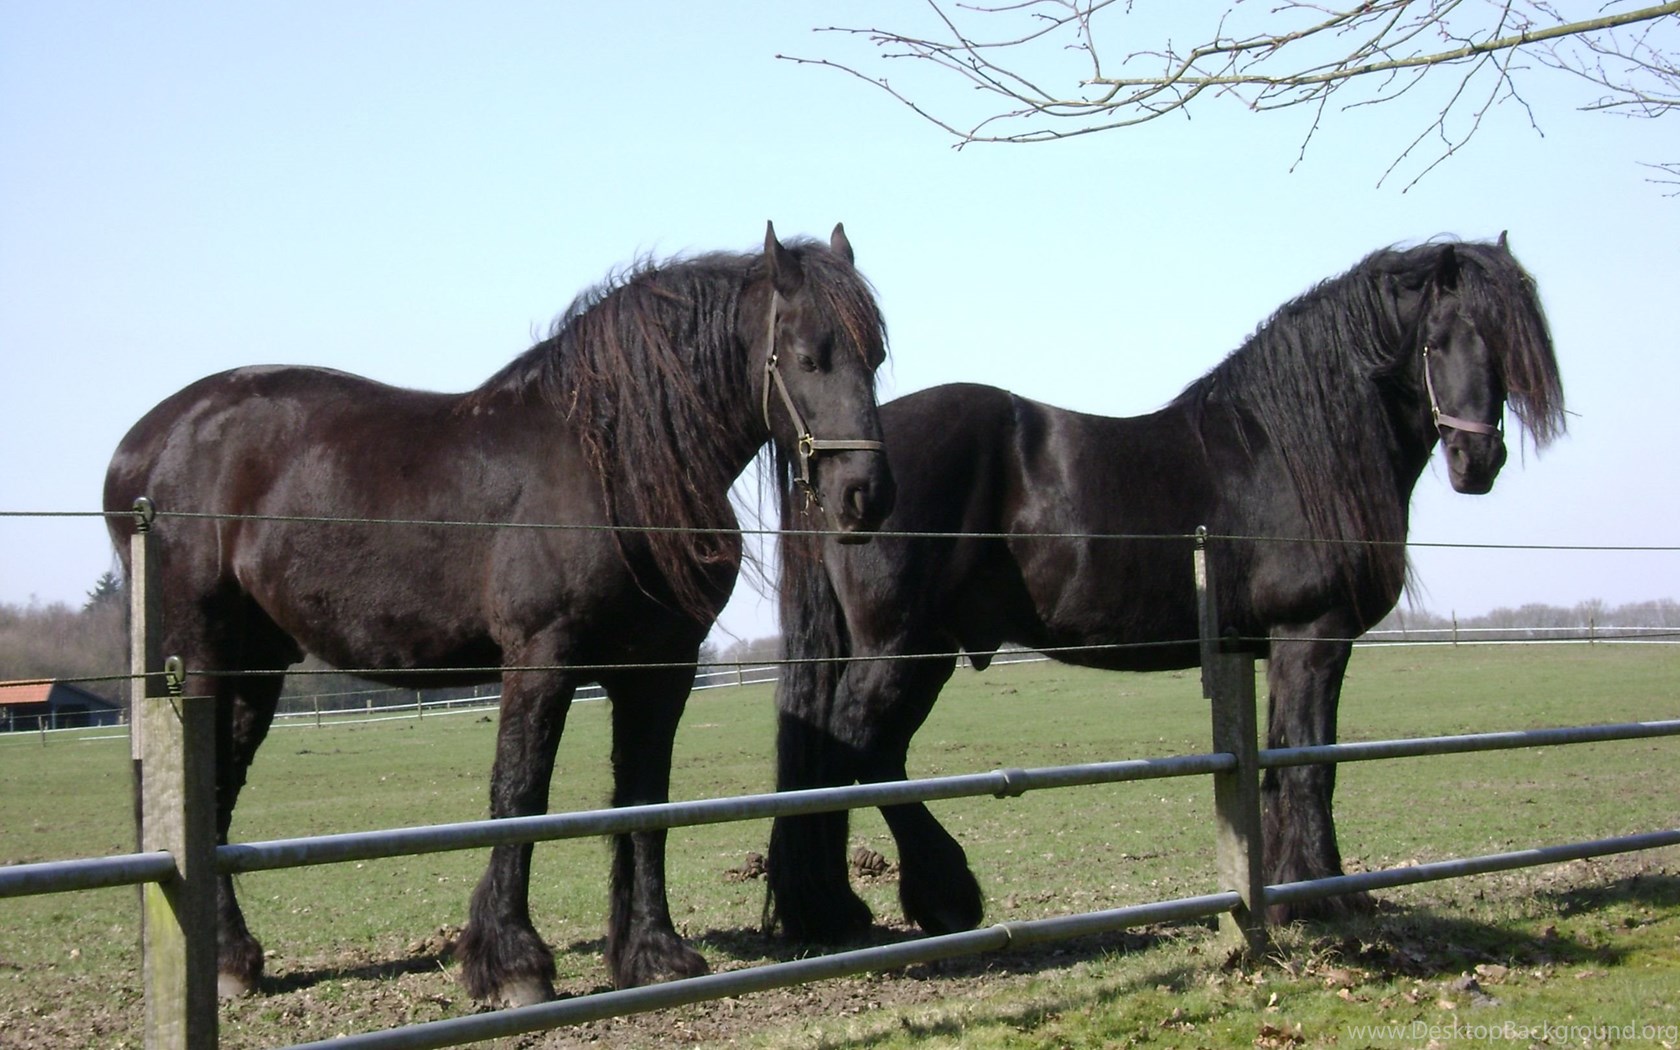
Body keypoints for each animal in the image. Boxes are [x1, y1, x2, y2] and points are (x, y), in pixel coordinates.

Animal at [103, 223, 896, 1007]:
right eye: (808, 357)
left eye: (876, 358)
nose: (866, 495)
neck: (612, 464)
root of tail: (144, 444)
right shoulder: (542, 658)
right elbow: (521, 792)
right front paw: (512, 963)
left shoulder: (661, 670)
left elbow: (646, 802)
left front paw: (654, 954)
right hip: (203, 655)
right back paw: (223, 961)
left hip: (257, 664)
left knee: (219, 787)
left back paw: (233, 959)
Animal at [765, 235, 1566, 944]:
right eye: (1438, 340)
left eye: (1500, 345)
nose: (1477, 459)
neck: (1286, 451)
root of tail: (843, 468)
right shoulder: (1314, 632)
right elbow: (1310, 765)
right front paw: (1323, 897)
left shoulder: (1281, 646)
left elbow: (1283, 764)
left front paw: (1288, 894)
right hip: (901, 644)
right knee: (857, 751)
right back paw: (904, 902)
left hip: (922, 649)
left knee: (872, 755)